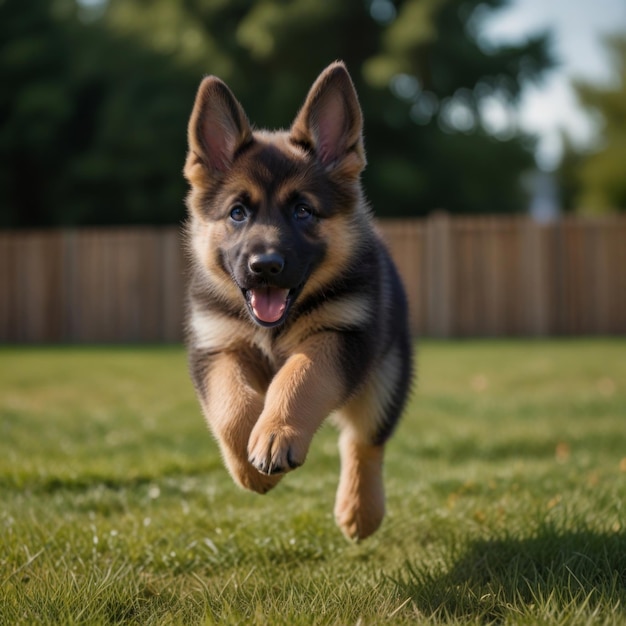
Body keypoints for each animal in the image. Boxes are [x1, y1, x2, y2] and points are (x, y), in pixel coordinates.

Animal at [183, 64, 412, 540]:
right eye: (237, 213)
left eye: (302, 211)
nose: (265, 266)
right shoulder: (218, 346)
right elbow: (231, 407)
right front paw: (249, 465)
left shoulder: (341, 334)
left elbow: (301, 377)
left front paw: (276, 433)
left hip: (386, 376)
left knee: (363, 439)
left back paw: (359, 510)